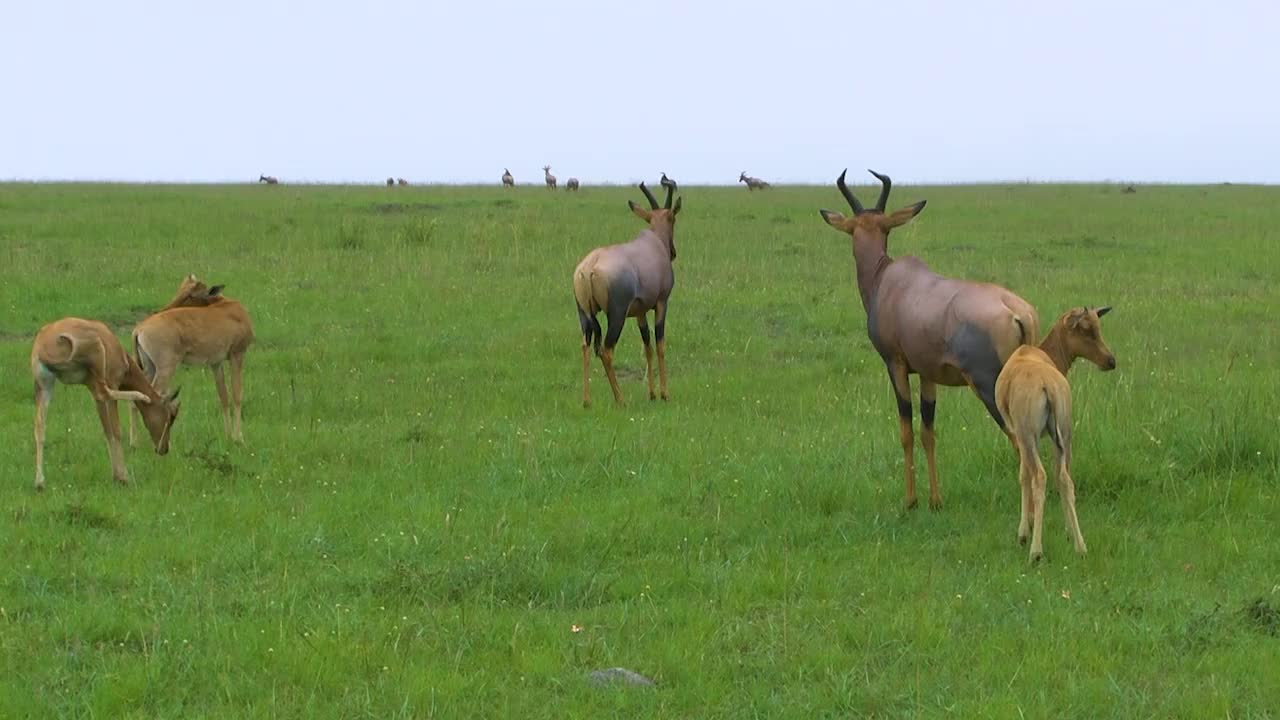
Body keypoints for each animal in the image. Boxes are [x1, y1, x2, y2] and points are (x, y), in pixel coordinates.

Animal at [30, 315, 181, 486]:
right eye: (171, 416)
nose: (163, 449)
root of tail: (46, 344)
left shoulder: (95, 395)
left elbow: (107, 431)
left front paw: (116, 475)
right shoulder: (111, 382)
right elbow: (116, 431)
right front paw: (123, 477)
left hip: (44, 386)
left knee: (39, 427)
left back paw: (39, 483)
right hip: (97, 365)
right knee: (105, 392)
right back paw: (141, 396)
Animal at [129, 280, 254, 443]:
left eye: (190, 294)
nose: (162, 309)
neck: (227, 307)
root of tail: (139, 330)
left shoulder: (216, 363)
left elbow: (223, 396)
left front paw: (227, 435)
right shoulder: (237, 354)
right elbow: (237, 394)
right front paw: (238, 437)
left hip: (149, 368)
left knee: (136, 397)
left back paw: (134, 442)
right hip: (165, 368)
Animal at [819, 166, 1039, 509]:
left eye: (881, 227)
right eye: (859, 228)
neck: (887, 279)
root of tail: (1016, 311)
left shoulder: (895, 365)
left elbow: (906, 431)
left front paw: (910, 501)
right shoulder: (928, 373)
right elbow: (928, 432)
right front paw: (935, 500)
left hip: (989, 386)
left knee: (1021, 443)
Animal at [993, 302, 1116, 561]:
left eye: (1096, 327)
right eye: (1087, 328)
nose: (1110, 361)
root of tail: (1046, 385)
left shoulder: (1022, 436)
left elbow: (1024, 475)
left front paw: (1023, 532)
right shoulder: (1052, 438)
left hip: (1030, 437)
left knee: (1040, 477)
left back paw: (1036, 552)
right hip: (1065, 437)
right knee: (1066, 479)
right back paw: (1080, 546)